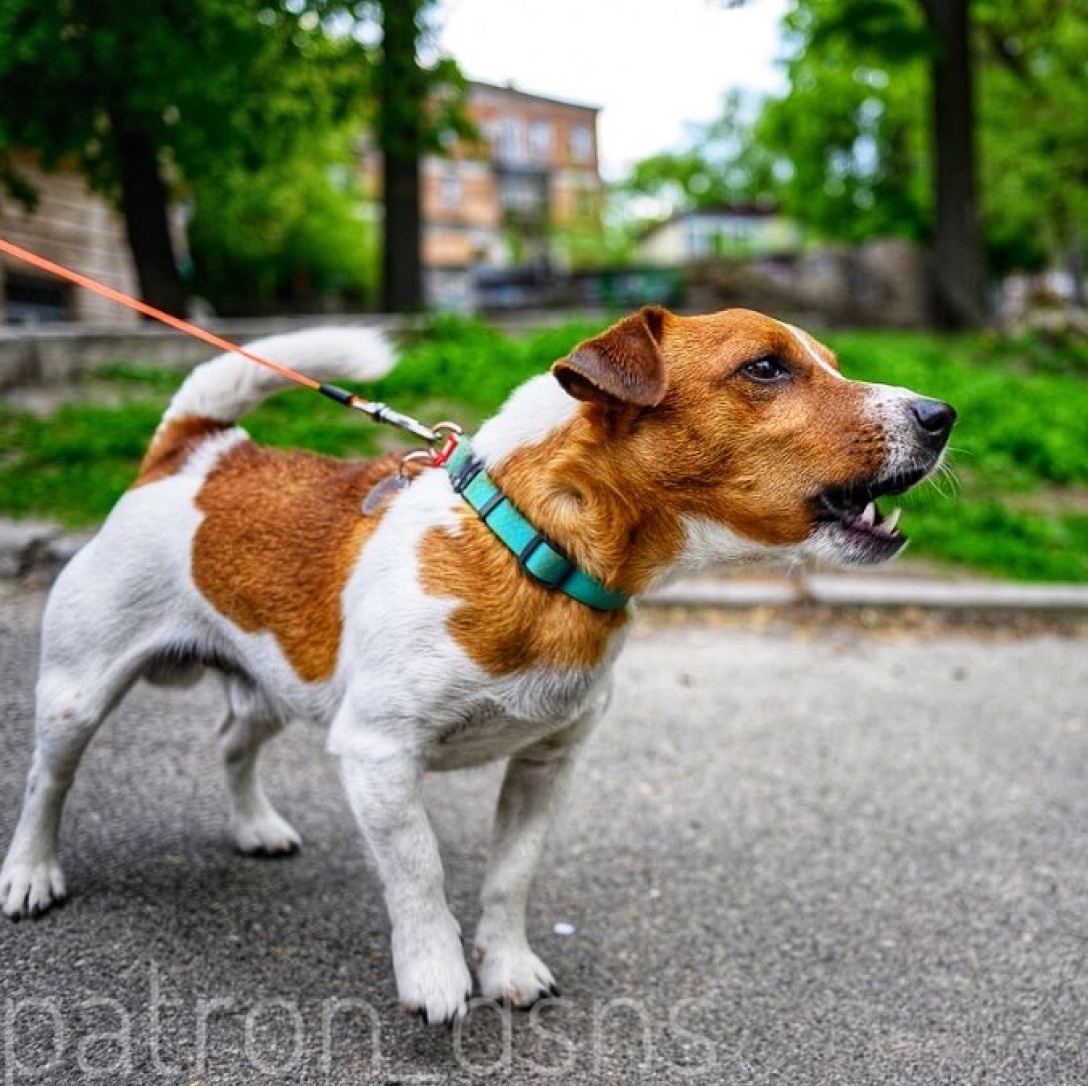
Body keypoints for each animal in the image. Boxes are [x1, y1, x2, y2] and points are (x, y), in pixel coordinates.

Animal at [0, 309, 953, 1027]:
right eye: (765, 367)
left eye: (830, 363)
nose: (941, 414)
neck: (532, 546)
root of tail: (200, 451)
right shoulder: (379, 754)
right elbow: (419, 869)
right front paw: (435, 976)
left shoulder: (546, 762)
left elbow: (509, 875)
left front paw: (506, 966)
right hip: (79, 693)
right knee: (49, 782)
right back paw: (31, 874)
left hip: (275, 678)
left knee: (233, 741)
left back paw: (254, 825)